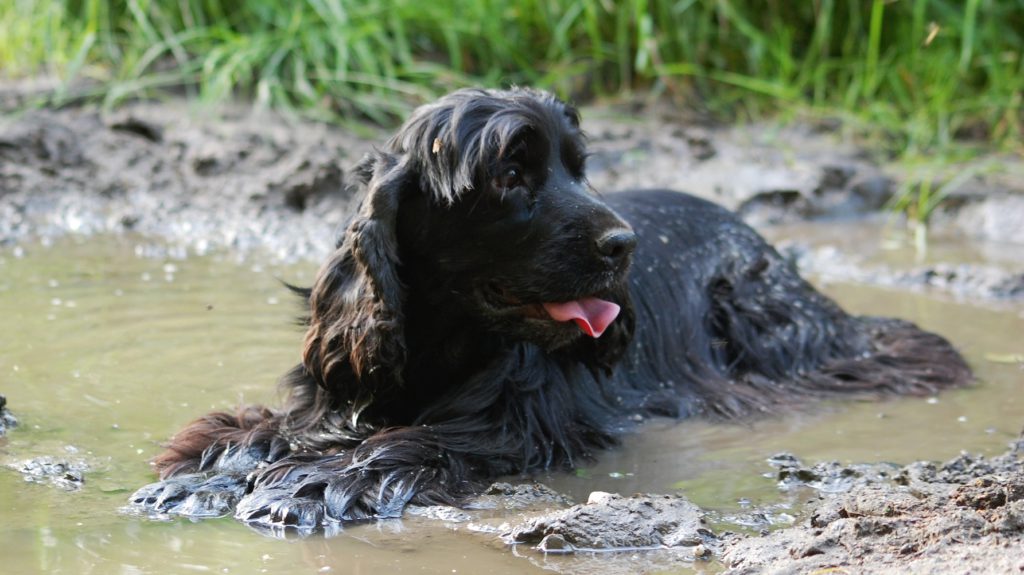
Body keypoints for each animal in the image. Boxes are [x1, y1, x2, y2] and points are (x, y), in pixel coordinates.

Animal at [132, 87, 970, 532]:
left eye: (580, 167)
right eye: (510, 172)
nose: (624, 244)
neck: (446, 340)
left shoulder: (516, 423)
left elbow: (410, 442)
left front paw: (307, 486)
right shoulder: (346, 387)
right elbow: (270, 429)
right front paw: (206, 475)